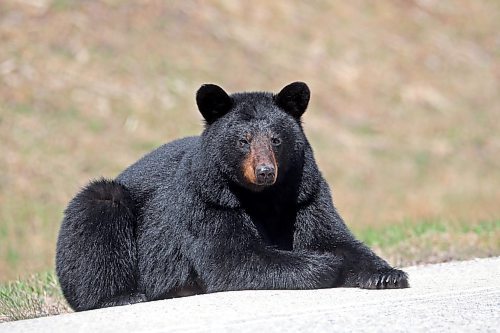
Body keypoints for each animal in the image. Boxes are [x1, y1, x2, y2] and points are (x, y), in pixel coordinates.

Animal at [55, 81, 406, 310]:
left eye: (276, 139)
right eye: (243, 140)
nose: (265, 171)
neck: (263, 196)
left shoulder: (306, 194)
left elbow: (334, 237)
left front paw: (387, 275)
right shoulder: (207, 200)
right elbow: (232, 257)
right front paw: (325, 265)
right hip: (105, 203)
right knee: (98, 215)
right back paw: (122, 296)